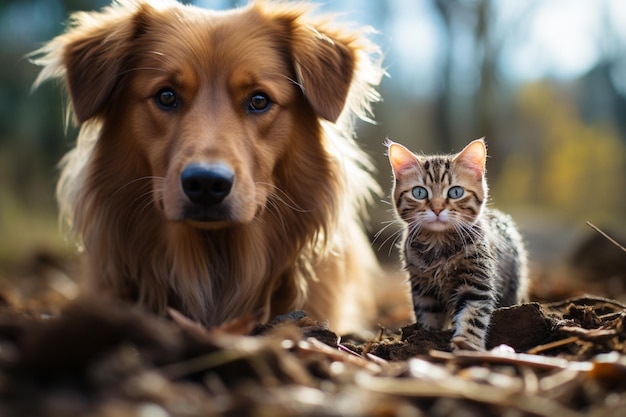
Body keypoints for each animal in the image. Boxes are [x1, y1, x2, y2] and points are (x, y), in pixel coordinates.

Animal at [386, 138, 528, 350]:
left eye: (455, 192)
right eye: (419, 192)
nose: (437, 209)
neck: (438, 244)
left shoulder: (476, 283)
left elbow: (472, 317)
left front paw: (467, 346)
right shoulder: (422, 286)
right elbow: (428, 314)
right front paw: (425, 336)